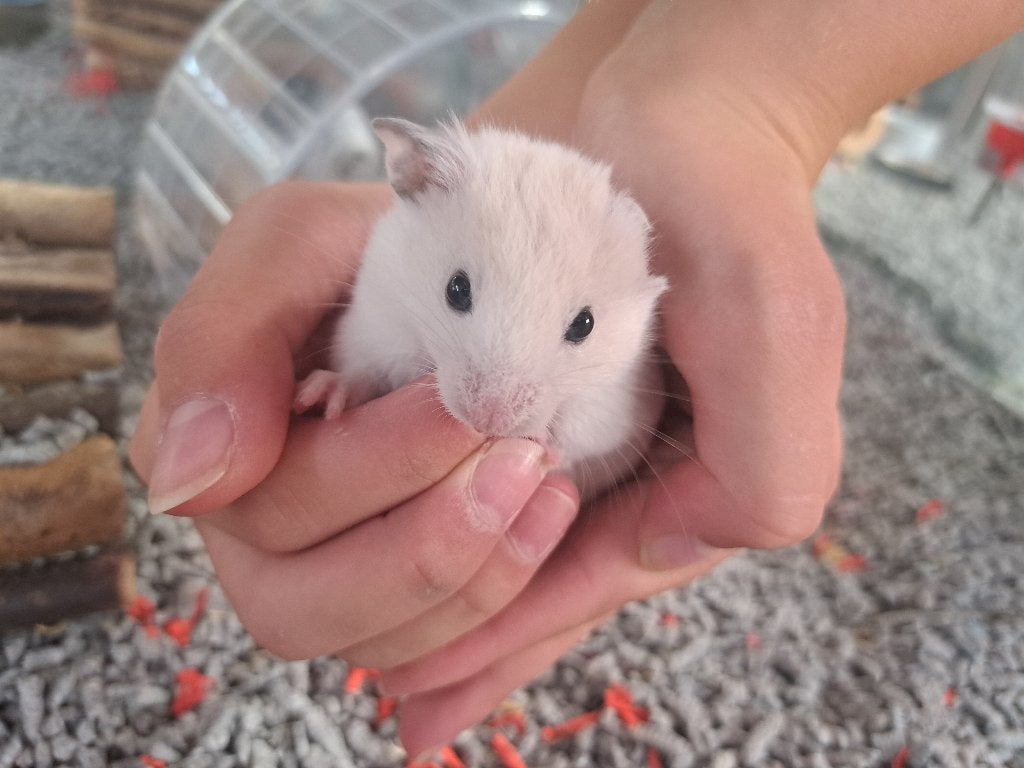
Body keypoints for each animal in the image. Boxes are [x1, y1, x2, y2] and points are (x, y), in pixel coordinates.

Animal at [295, 117, 668, 501]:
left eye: (585, 324)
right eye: (456, 289)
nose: (488, 422)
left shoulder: (616, 397)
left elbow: (584, 434)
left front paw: (542, 449)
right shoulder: (377, 327)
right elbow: (360, 374)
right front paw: (315, 399)